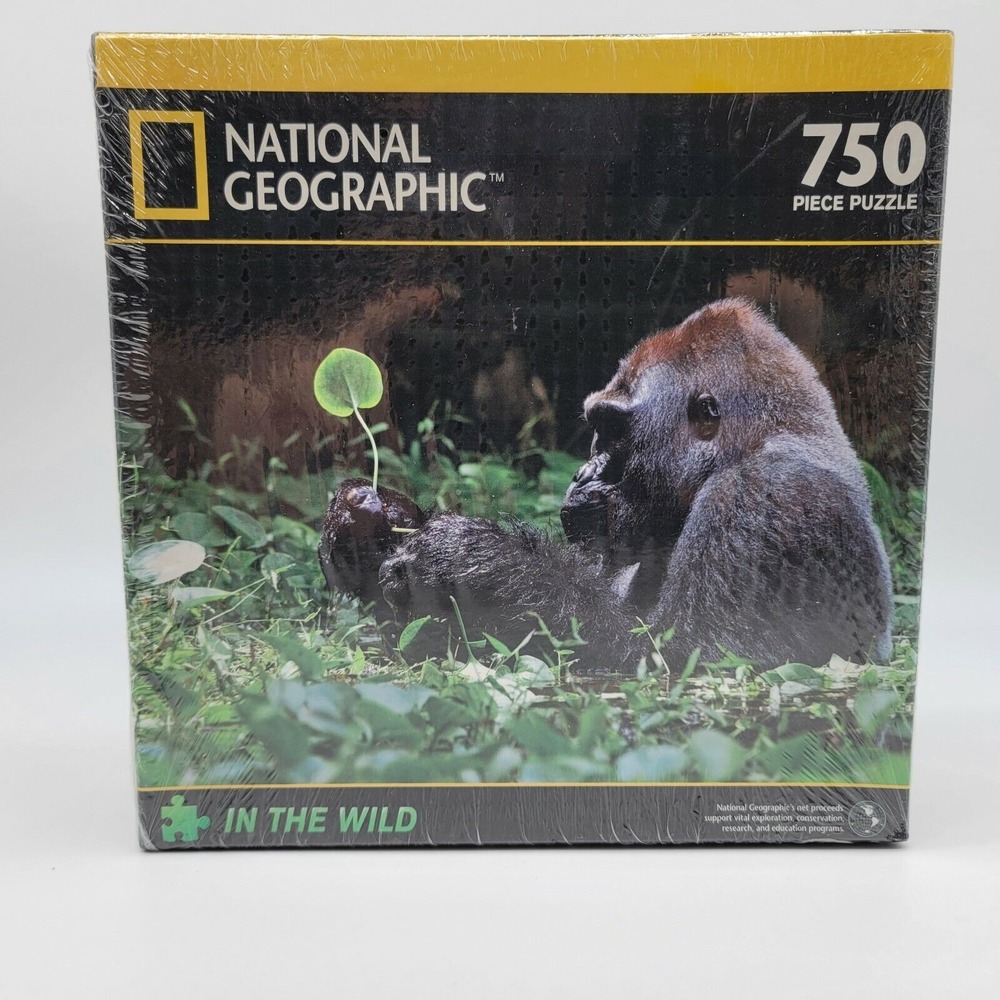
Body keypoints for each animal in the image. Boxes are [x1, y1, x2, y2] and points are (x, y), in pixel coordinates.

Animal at [319, 299, 893, 672]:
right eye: (598, 427)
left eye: (613, 430)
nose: (583, 472)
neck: (752, 441)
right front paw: (361, 529)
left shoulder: (761, 496)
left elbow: (679, 657)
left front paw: (475, 558)